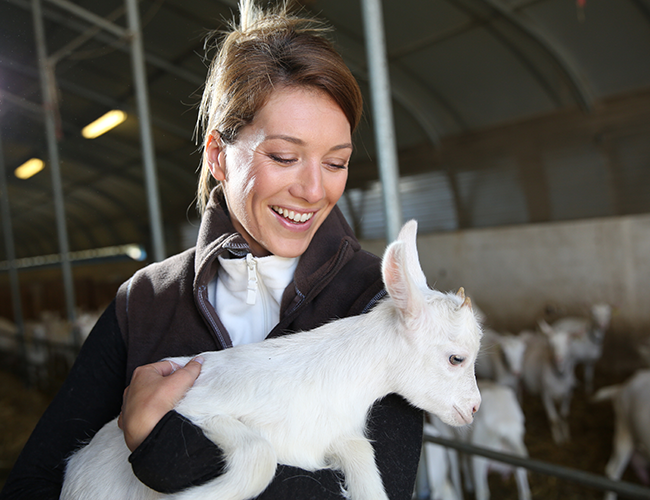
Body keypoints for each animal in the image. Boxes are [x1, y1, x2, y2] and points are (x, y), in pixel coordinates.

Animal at [61, 220, 483, 500]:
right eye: (457, 358)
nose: (475, 408)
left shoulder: (337, 438)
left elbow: (364, 461)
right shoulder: (193, 406)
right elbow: (260, 456)